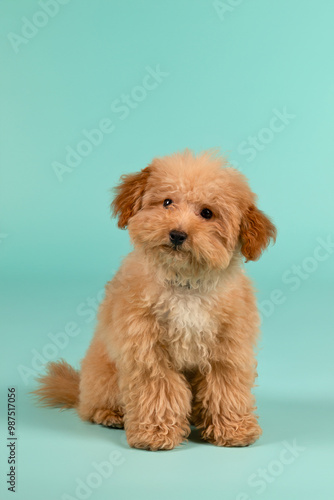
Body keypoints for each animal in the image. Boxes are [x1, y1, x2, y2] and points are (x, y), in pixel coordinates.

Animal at [34, 150, 276, 452]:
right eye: (167, 202)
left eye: (207, 213)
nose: (177, 234)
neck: (184, 283)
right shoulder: (147, 351)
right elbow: (158, 391)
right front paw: (156, 433)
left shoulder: (228, 349)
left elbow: (226, 389)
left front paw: (233, 429)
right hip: (104, 374)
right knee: (92, 407)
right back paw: (111, 415)